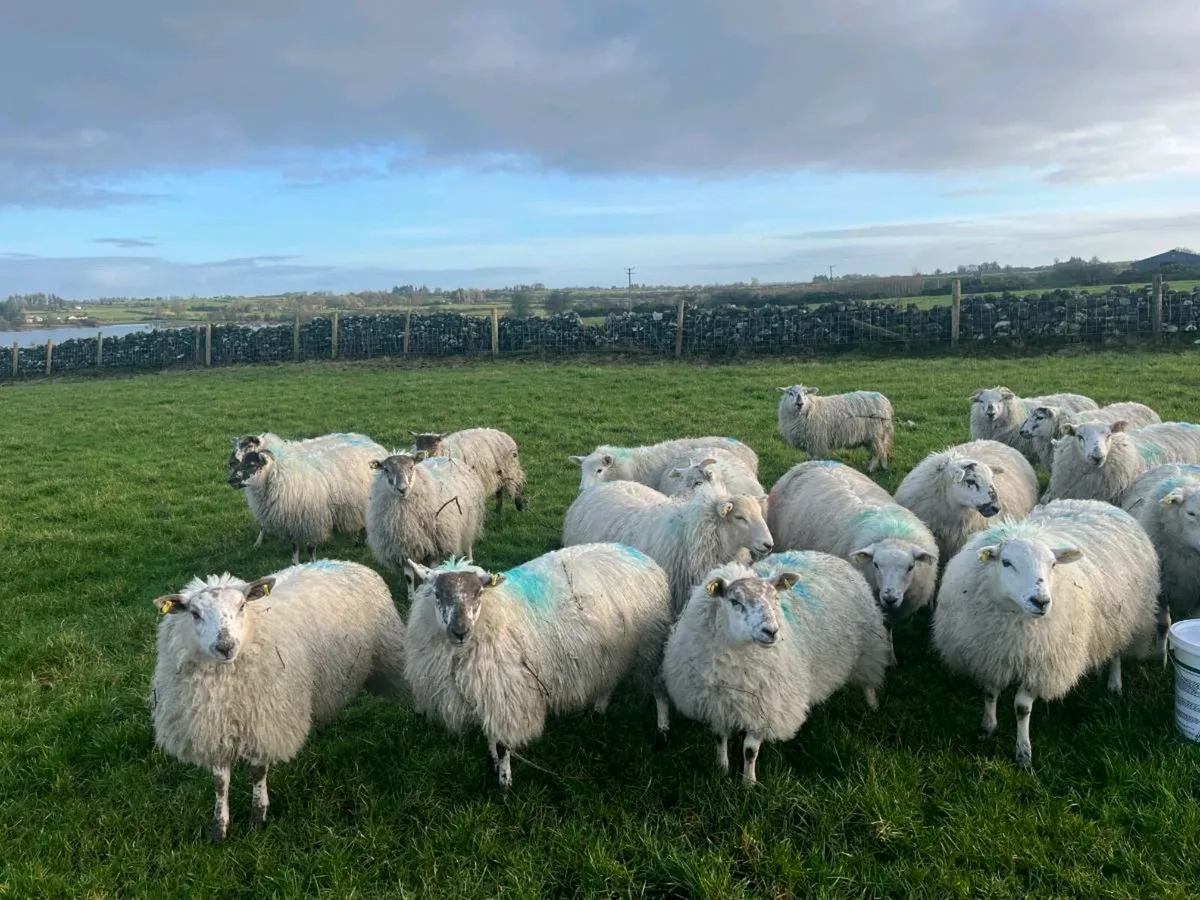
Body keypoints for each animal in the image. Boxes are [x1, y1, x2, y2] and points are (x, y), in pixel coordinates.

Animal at [148, 559, 409, 841]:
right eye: (195, 614)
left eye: (242, 606)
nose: (225, 646)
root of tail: (346, 562)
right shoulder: (214, 728)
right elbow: (219, 782)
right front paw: (219, 828)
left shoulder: (265, 721)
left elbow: (257, 772)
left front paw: (257, 818)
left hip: (390, 654)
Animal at [229, 432, 386, 554]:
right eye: (235, 446)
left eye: (249, 446)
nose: (231, 462)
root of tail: (371, 442)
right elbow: (264, 526)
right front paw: (258, 543)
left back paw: (360, 540)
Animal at [402, 544, 675, 790]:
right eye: (437, 595)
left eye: (479, 594)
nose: (460, 632)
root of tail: (642, 555)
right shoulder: (488, 690)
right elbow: (490, 733)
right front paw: (492, 765)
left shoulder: (508, 694)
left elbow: (502, 744)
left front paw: (504, 785)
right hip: (611, 650)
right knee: (610, 677)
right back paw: (599, 710)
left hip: (650, 643)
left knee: (659, 688)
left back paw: (661, 734)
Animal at [661, 550, 890, 785]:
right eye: (734, 601)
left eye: (775, 599)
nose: (771, 631)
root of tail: (825, 554)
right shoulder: (717, 704)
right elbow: (719, 738)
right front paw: (721, 770)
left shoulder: (766, 708)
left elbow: (750, 751)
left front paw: (748, 783)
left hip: (869, 647)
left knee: (869, 680)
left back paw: (872, 707)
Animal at [931, 499, 1160, 768]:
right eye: (1006, 562)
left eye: (1053, 564)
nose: (1040, 601)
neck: (1013, 620)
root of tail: (1096, 502)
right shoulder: (991, 654)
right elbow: (990, 692)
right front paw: (988, 729)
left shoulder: (1041, 663)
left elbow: (1022, 708)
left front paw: (1023, 754)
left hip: (1125, 617)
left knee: (1117, 652)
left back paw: (1115, 684)